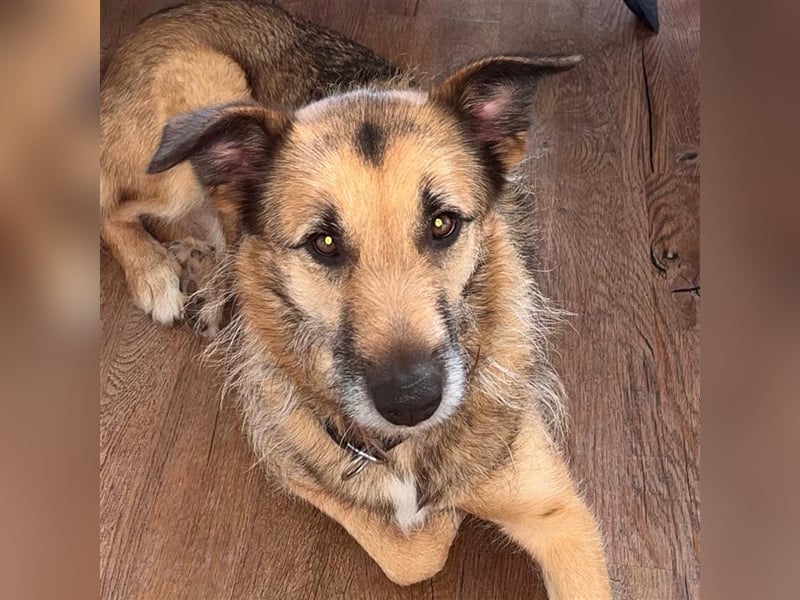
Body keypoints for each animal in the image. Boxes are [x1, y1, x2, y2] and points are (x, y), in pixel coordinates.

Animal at [101, 1, 612, 597]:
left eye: (443, 224)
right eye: (323, 243)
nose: (411, 401)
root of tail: (159, 17)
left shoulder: (563, 518)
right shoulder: (294, 461)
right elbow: (412, 552)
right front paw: (443, 515)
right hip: (193, 123)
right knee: (110, 203)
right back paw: (156, 272)